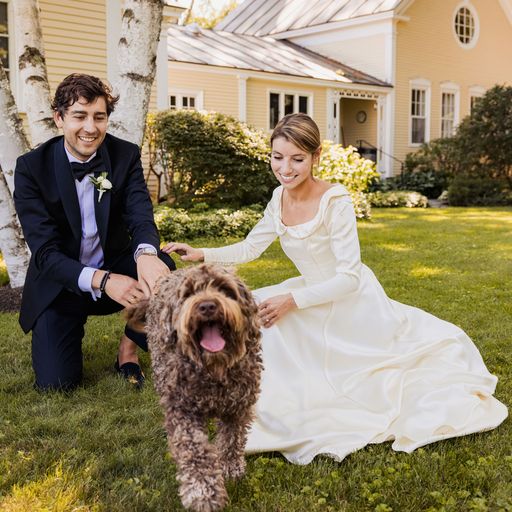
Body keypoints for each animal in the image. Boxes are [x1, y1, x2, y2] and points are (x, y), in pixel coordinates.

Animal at [126, 264, 262, 512]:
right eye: (188, 293)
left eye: (224, 289)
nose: (207, 306)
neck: (213, 369)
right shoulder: (182, 410)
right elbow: (195, 452)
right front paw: (203, 492)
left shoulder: (238, 407)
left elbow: (232, 439)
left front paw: (231, 468)